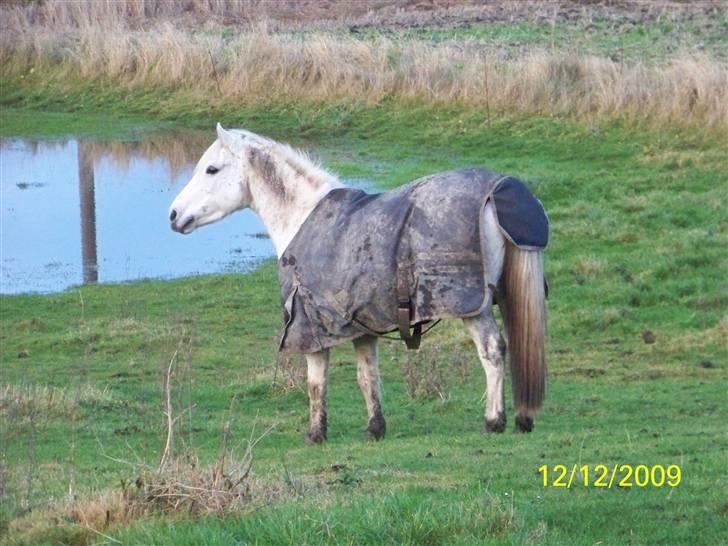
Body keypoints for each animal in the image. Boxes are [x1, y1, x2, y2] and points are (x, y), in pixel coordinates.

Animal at [171, 124, 544, 442]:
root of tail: (498, 191)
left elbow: (316, 382)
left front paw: (316, 434)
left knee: (492, 351)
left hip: (472, 306)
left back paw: (494, 420)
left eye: (212, 169)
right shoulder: (363, 324)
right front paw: (375, 428)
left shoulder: (311, 328)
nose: (173, 215)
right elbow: (367, 376)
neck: (302, 217)